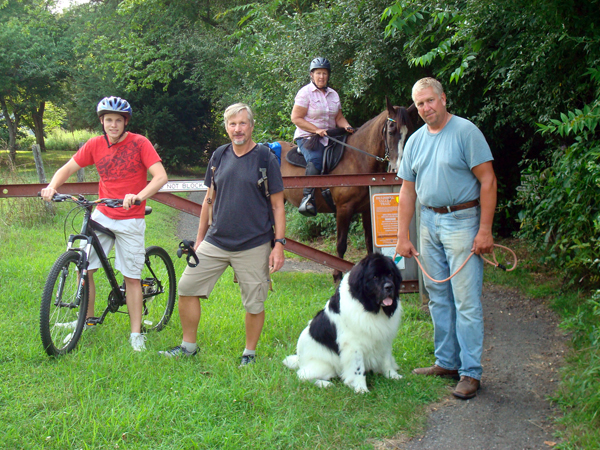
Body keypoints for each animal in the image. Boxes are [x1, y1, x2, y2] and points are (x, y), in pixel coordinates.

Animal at [280, 98, 412, 282]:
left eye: (408, 133)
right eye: (391, 131)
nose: (397, 169)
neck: (357, 160)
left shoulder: (366, 210)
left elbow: (369, 242)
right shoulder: (344, 209)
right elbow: (341, 244)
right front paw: (337, 276)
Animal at [284, 253, 404, 394]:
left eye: (390, 274)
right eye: (375, 277)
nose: (389, 287)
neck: (369, 307)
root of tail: (299, 358)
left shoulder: (384, 339)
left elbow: (386, 360)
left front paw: (392, 375)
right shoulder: (354, 345)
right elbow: (358, 368)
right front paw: (361, 388)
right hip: (324, 366)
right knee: (302, 376)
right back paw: (325, 384)